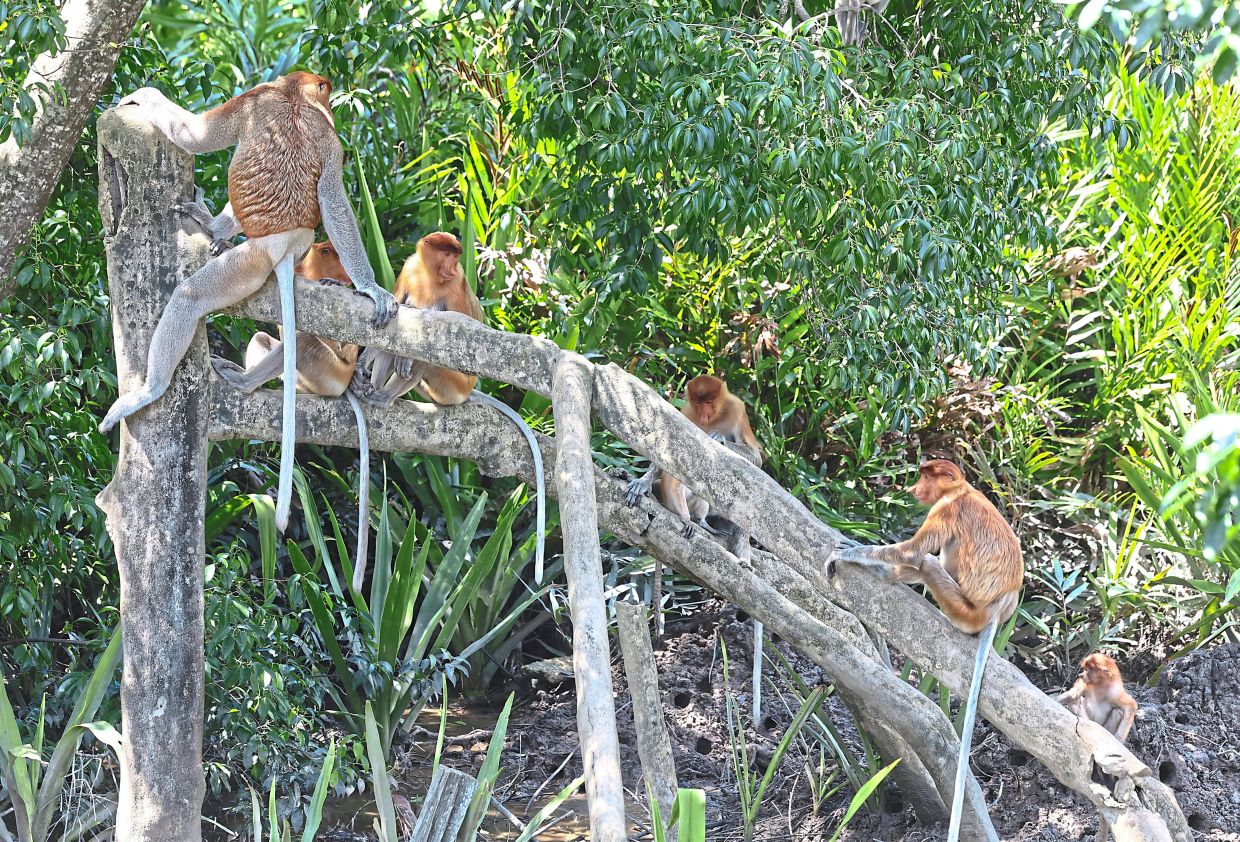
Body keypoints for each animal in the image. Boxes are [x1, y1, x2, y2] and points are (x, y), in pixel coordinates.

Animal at [97, 72, 398, 540]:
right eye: (327, 92)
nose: (330, 99)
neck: (293, 95)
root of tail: (288, 242)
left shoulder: (253, 100)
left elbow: (196, 136)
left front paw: (143, 96)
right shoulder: (330, 140)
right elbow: (332, 195)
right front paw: (372, 289)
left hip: (252, 260)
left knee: (189, 297)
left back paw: (150, 389)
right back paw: (215, 230)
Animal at [210, 241, 372, 583]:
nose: (340, 273)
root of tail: (342, 385)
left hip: (327, 375)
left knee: (307, 340)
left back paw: (244, 383)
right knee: (266, 338)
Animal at [349, 232, 546, 591]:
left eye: (456, 257)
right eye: (447, 254)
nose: (453, 267)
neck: (430, 276)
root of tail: (467, 393)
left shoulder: (457, 287)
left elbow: (454, 331)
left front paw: (405, 359)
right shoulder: (410, 268)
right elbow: (396, 308)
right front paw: (361, 365)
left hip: (453, 384)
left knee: (431, 344)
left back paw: (384, 396)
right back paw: (371, 389)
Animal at [624, 374, 766, 718]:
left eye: (710, 401)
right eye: (698, 402)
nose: (703, 415)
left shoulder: (737, 410)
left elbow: (756, 459)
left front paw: (718, 437)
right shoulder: (684, 414)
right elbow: (666, 454)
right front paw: (642, 481)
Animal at [827, 459, 1023, 842]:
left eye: (925, 475)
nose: (912, 489)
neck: (962, 490)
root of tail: (995, 612)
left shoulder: (945, 511)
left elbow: (911, 551)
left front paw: (847, 551)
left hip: (962, 608)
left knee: (929, 562)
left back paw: (887, 574)